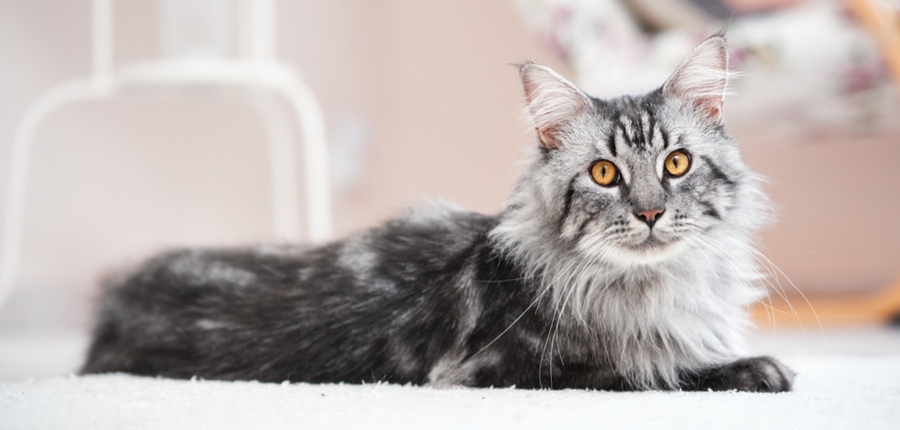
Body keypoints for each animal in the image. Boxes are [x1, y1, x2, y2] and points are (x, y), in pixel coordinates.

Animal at [79, 36, 796, 394]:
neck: (653, 288)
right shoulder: (498, 369)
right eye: (604, 175)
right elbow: (650, 369)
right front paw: (755, 369)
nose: (649, 213)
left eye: (676, 164)